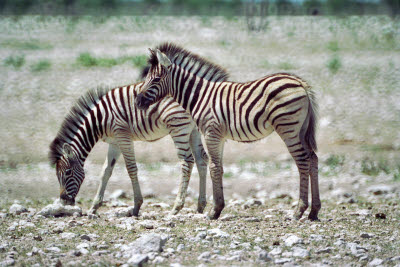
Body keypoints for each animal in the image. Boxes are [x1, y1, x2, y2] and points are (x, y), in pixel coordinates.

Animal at [48, 82, 208, 217]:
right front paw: (94, 207)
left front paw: (137, 206)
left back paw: (176, 207)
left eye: (67, 173)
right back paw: (200, 206)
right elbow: (105, 171)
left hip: (178, 129)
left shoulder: (123, 136)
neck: (99, 119)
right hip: (193, 130)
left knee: (187, 161)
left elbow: (131, 169)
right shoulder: (114, 142)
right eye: (57, 175)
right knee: (201, 160)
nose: (63, 201)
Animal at [136, 42, 320, 222]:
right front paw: (218, 208)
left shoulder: (211, 132)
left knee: (303, 161)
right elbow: (220, 167)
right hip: (301, 130)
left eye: (156, 79)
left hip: (288, 128)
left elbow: (213, 168)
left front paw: (214, 211)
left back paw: (298, 211)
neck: (200, 96)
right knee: (312, 159)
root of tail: (301, 83)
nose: (137, 101)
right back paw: (313, 211)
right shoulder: (220, 136)